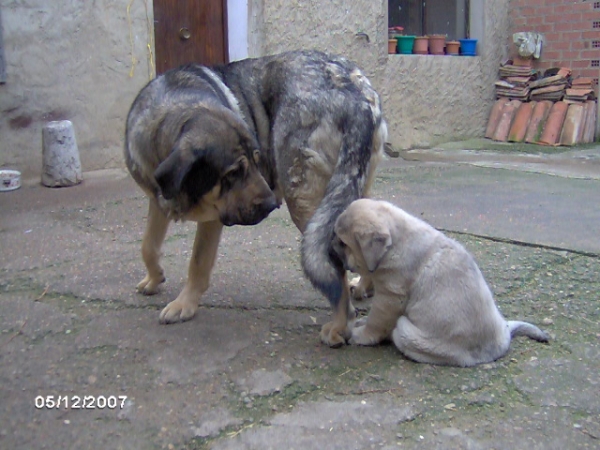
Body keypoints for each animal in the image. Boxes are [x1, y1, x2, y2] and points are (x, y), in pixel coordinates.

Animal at [124, 50, 386, 348]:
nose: (271, 204)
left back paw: (340, 325)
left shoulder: (213, 220)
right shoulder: (157, 201)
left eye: (256, 159)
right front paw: (154, 278)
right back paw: (364, 288)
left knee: (331, 261)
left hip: (305, 204)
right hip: (350, 190)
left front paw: (184, 305)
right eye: (233, 173)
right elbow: (148, 245)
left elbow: (198, 262)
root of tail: (354, 93)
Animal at [332, 200, 548, 366]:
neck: (396, 242)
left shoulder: (390, 296)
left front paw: (360, 335)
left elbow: (376, 322)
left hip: (407, 331)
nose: (331, 245)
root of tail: (503, 338)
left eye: (344, 243)